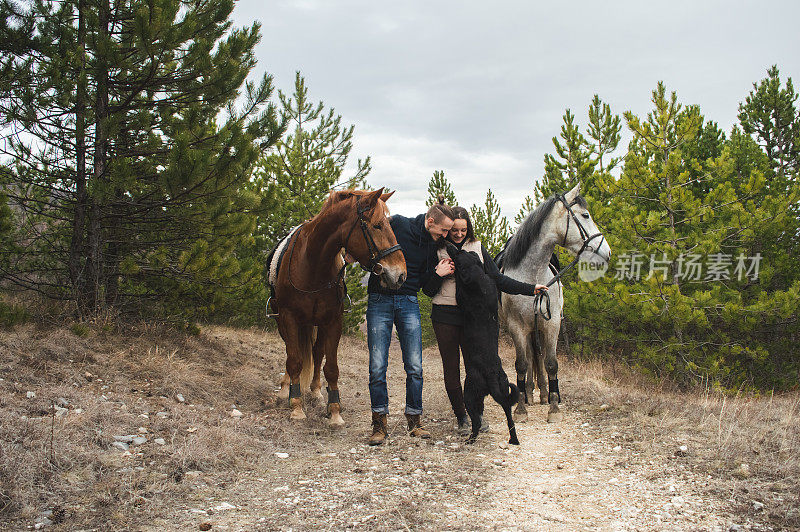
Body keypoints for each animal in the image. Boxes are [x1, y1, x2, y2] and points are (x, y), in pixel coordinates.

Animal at [270, 189, 406, 426]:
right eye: (378, 225)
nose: (400, 275)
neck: (313, 264)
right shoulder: (288, 317)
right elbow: (294, 360)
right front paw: (295, 406)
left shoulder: (333, 321)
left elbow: (331, 367)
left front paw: (334, 411)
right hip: (284, 322)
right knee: (291, 352)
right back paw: (286, 389)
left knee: (317, 352)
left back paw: (315, 391)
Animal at [444, 241, 520, 444]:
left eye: (458, 254)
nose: (449, 245)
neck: (479, 277)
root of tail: (492, 374)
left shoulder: (462, 293)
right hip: (504, 389)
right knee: (509, 417)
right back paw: (514, 440)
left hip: (470, 393)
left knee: (476, 420)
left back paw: (470, 439)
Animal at [496, 185, 608, 422]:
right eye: (585, 215)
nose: (607, 252)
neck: (532, 275)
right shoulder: (516, 327)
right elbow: (522, 364)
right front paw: (521, 409)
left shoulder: (552, 323)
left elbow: (551, 363)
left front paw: (554, 406)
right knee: (530, 356)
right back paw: (528, 393)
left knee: (537, 356)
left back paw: (544, 393)